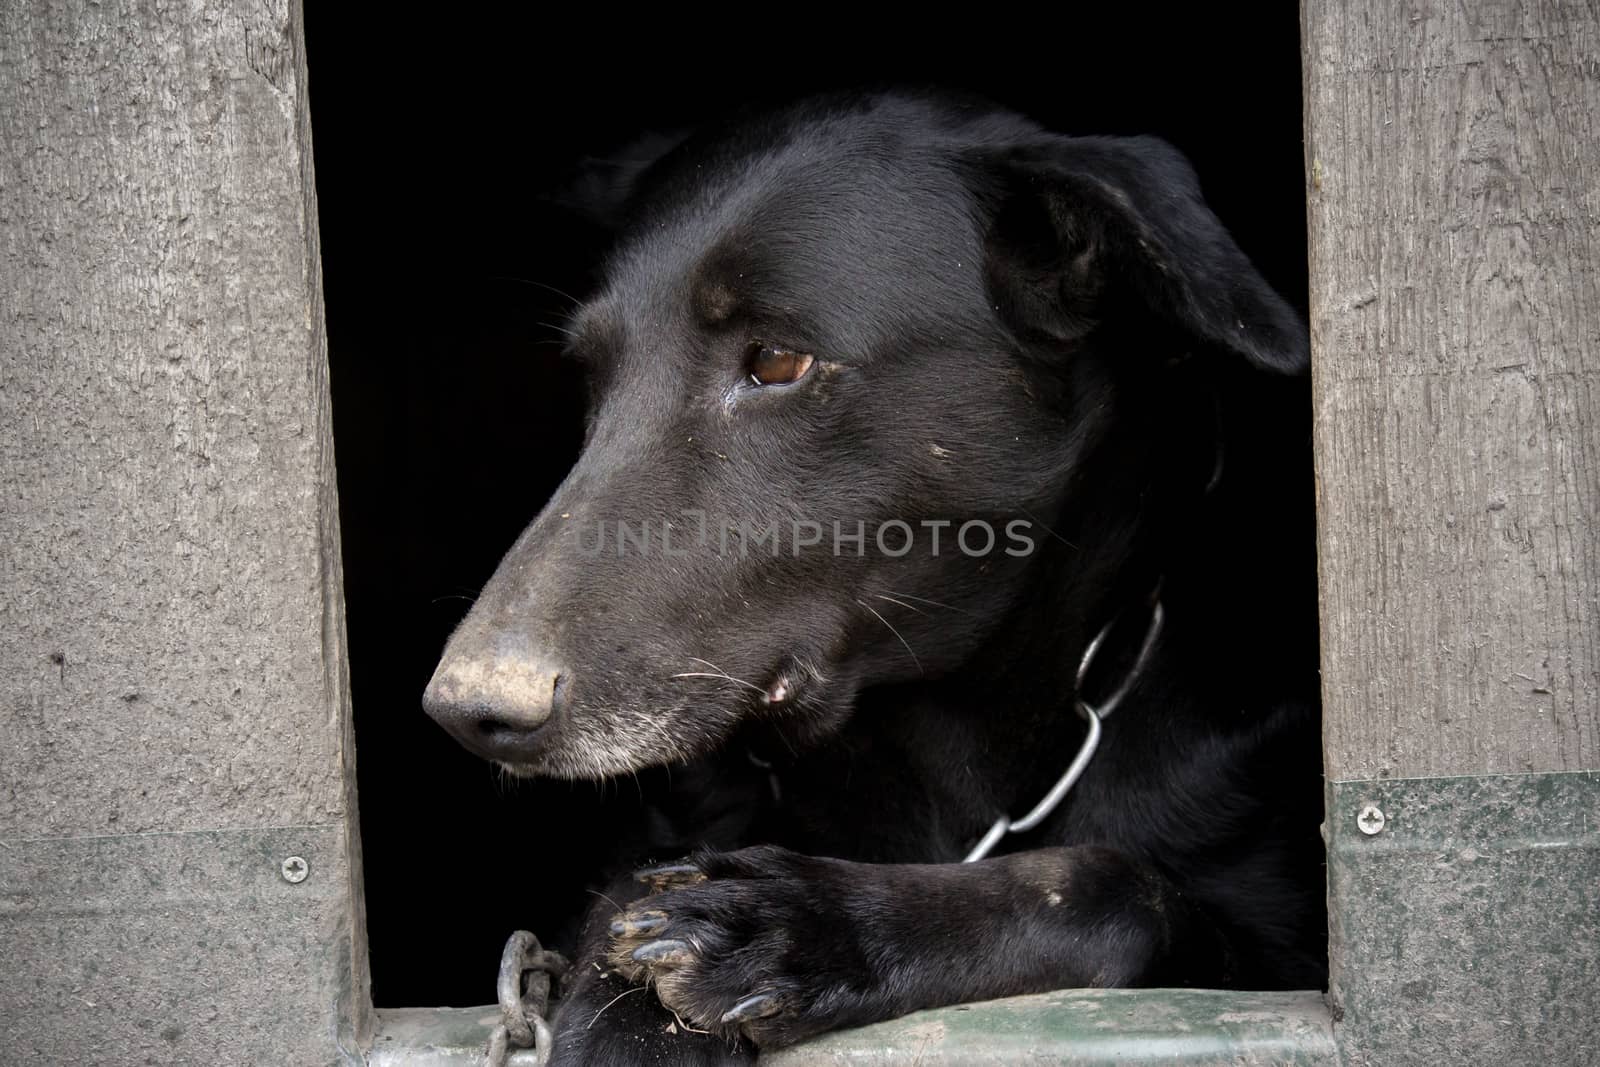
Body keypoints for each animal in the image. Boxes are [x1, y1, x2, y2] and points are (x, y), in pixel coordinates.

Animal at [422, 89, 1324, 1062]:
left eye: (778, 362)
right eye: (592, 377)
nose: (469, 709)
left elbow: (1114, 884)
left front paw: (810, 924)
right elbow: (626, 893)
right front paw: (628, 1011)